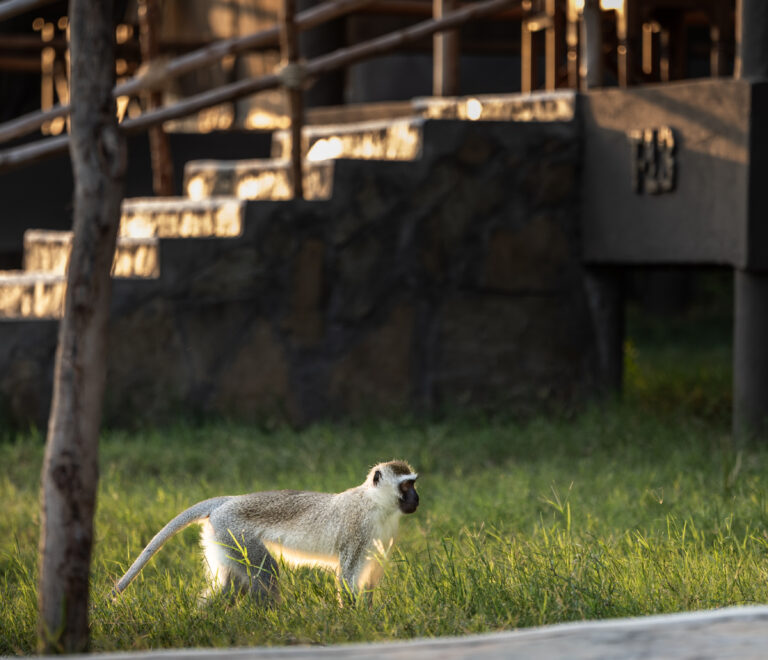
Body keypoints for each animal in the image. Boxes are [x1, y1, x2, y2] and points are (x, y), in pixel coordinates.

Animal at [113, 460, 419, 603]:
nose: (416, 499)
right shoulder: (357, 527)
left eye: (414, 484)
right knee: (266, 574)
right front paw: (354, 621)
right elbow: (347, 578)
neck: (375, 503)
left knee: (232, 584)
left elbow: (370, 577)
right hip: (235, 531)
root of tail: (228, 501)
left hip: (222, 538)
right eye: (406, 486)